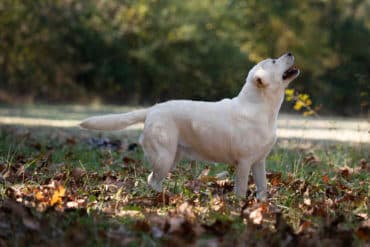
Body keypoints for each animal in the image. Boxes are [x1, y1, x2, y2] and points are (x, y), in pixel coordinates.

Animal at [79, 52, 300, 199]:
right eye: (274, 61)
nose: (290, 52)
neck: (261, 106)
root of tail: (152, 109)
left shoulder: (259, 162)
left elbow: (263, 188)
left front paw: (262, 205)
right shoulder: (244, 162)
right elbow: (241, 189)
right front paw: (239, 207)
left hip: (171, 157)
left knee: (153, 179)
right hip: (164, 156)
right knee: (152, 179)